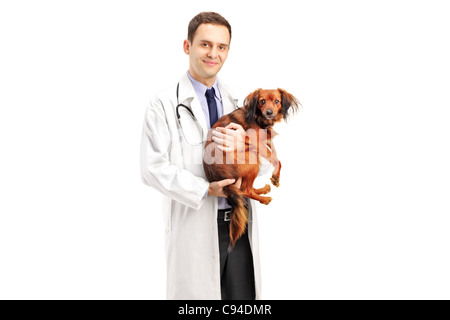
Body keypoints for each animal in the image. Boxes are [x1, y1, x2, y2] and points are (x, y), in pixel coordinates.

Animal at [203, 89, 298, 249]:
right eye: (262, 101)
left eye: (277, 101)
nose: (269, 112)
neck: (258, 118)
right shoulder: (256, 143)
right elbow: (276, 160)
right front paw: (276, 176)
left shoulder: (266, 142)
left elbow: (275, 155)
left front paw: (275, 177)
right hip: (252, 159)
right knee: (245, 190)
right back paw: (264, 199)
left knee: (247, 188)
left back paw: (262, 190)